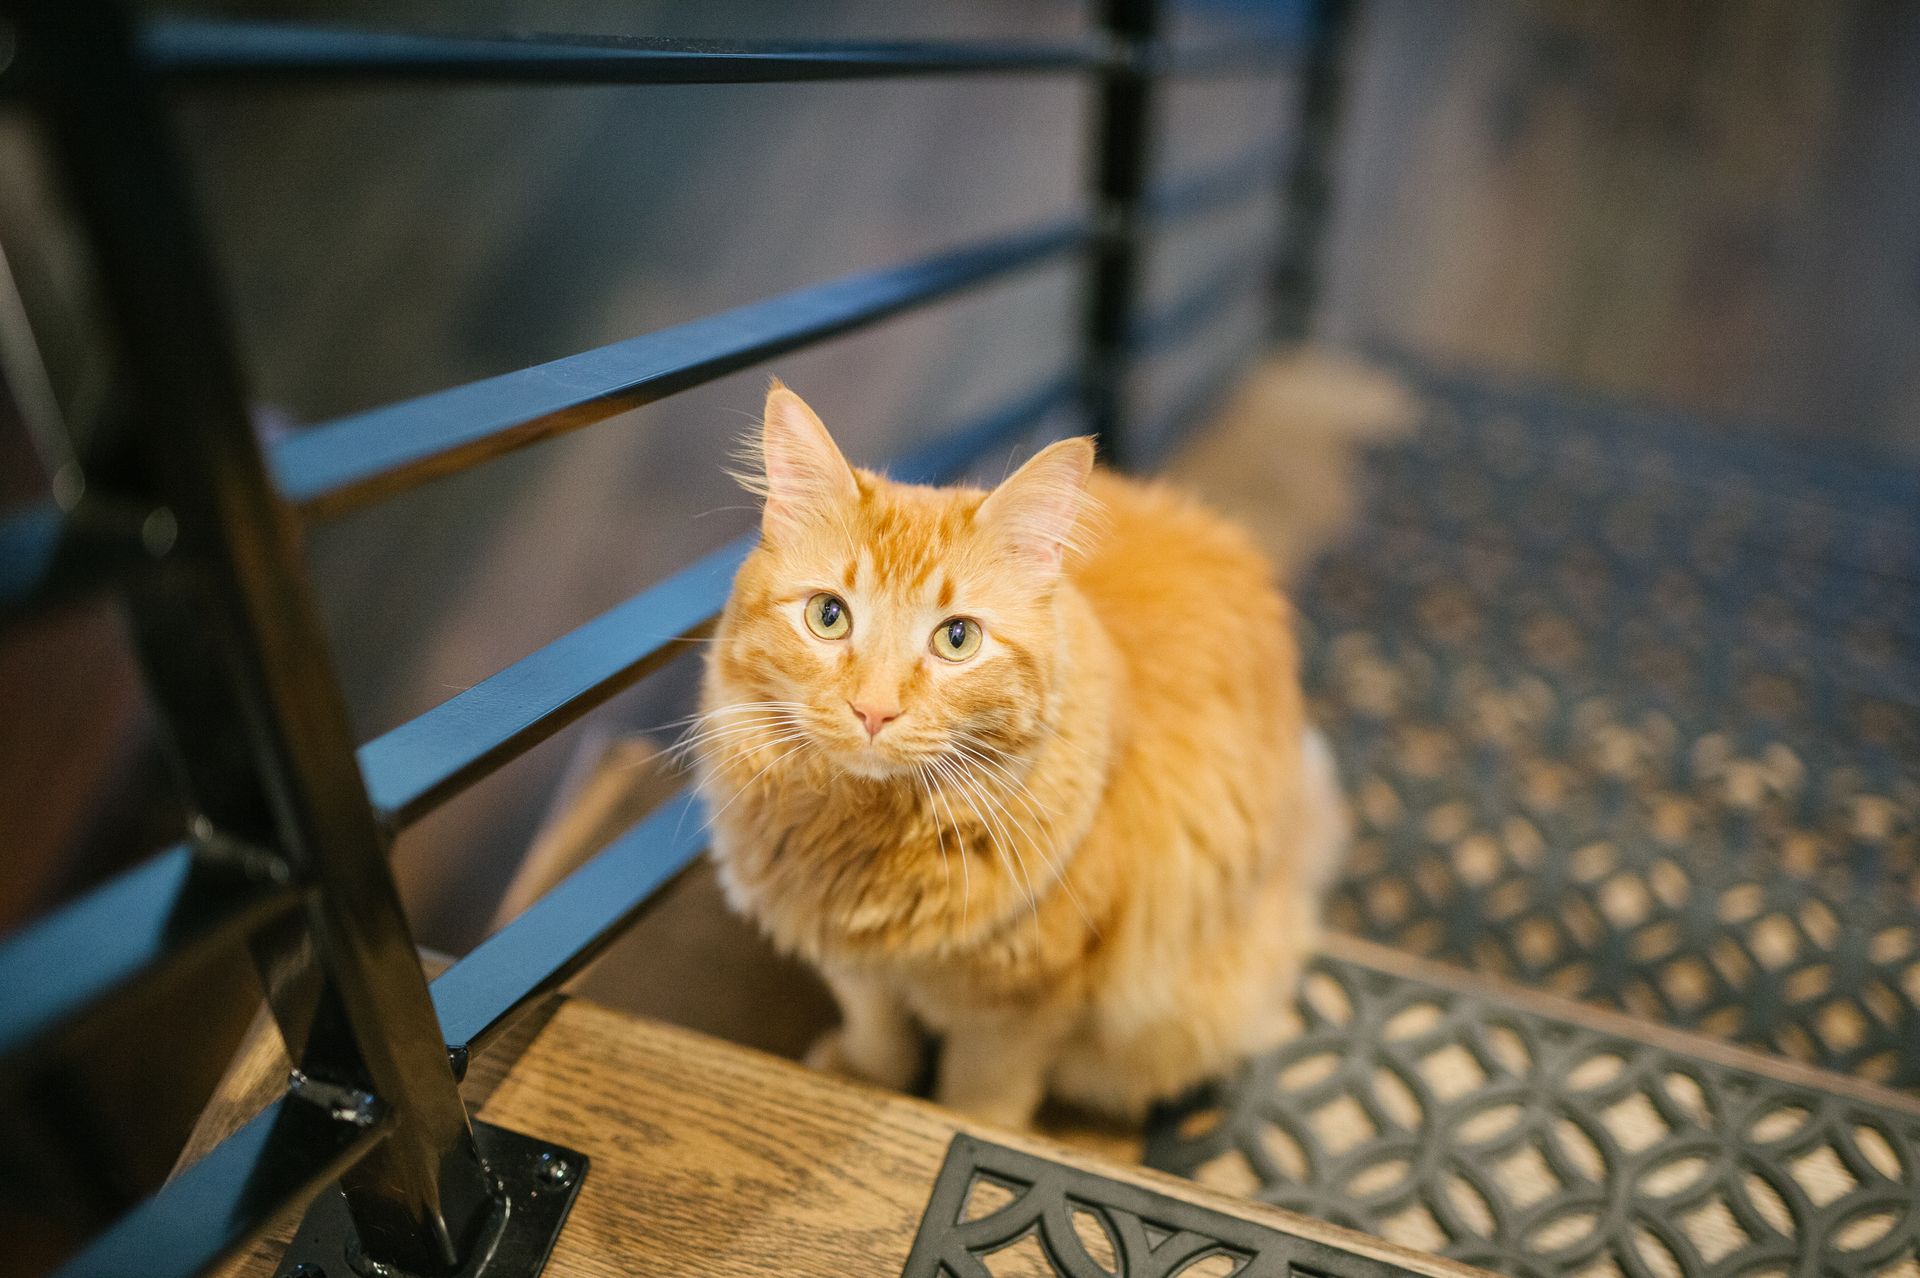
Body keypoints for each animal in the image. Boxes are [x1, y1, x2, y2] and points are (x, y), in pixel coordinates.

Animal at [698, 379, 1344, 1128]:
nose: (874, 710)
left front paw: (964, 1125)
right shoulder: (855, 963)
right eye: (828, 617)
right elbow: (877, 1028)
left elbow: (983, 1093)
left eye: (957, 639)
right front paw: (865, 1075)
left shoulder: (1021, 1005)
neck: (870, 845)